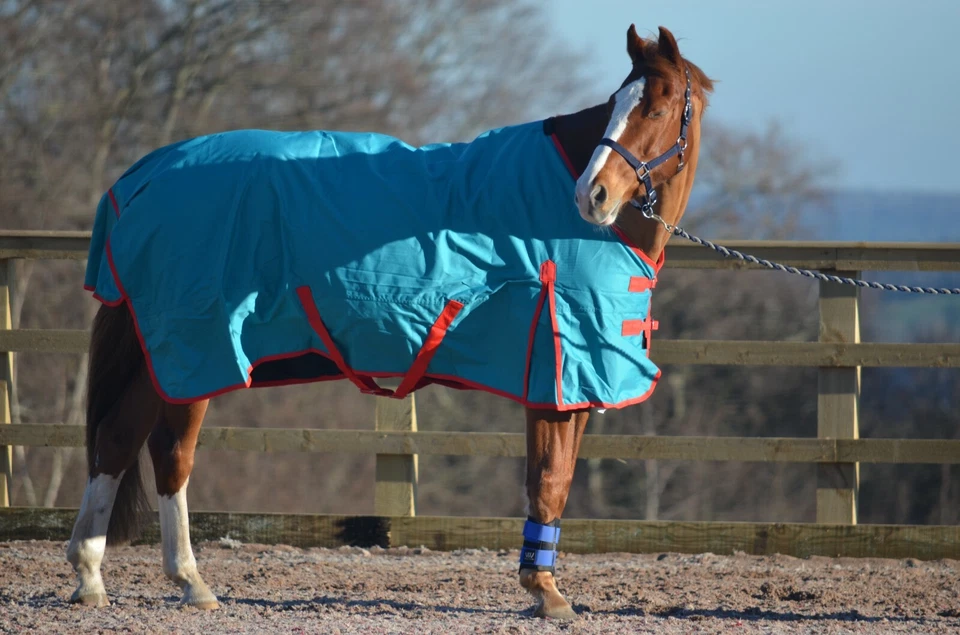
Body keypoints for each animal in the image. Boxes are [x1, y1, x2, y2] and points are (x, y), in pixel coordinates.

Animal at [66, 25, 713, 620]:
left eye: (655, 107)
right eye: (617, 103)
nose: (591, 195)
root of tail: (142, 177)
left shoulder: (566, 382)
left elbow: (555, 480)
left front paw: (543, 583)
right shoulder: (556, 377)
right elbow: (549, 482)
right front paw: (545, 592)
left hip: (159, 351)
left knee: (119, 439)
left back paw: (95, 575)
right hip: (193, 347)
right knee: (167, 452)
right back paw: (183, 579)